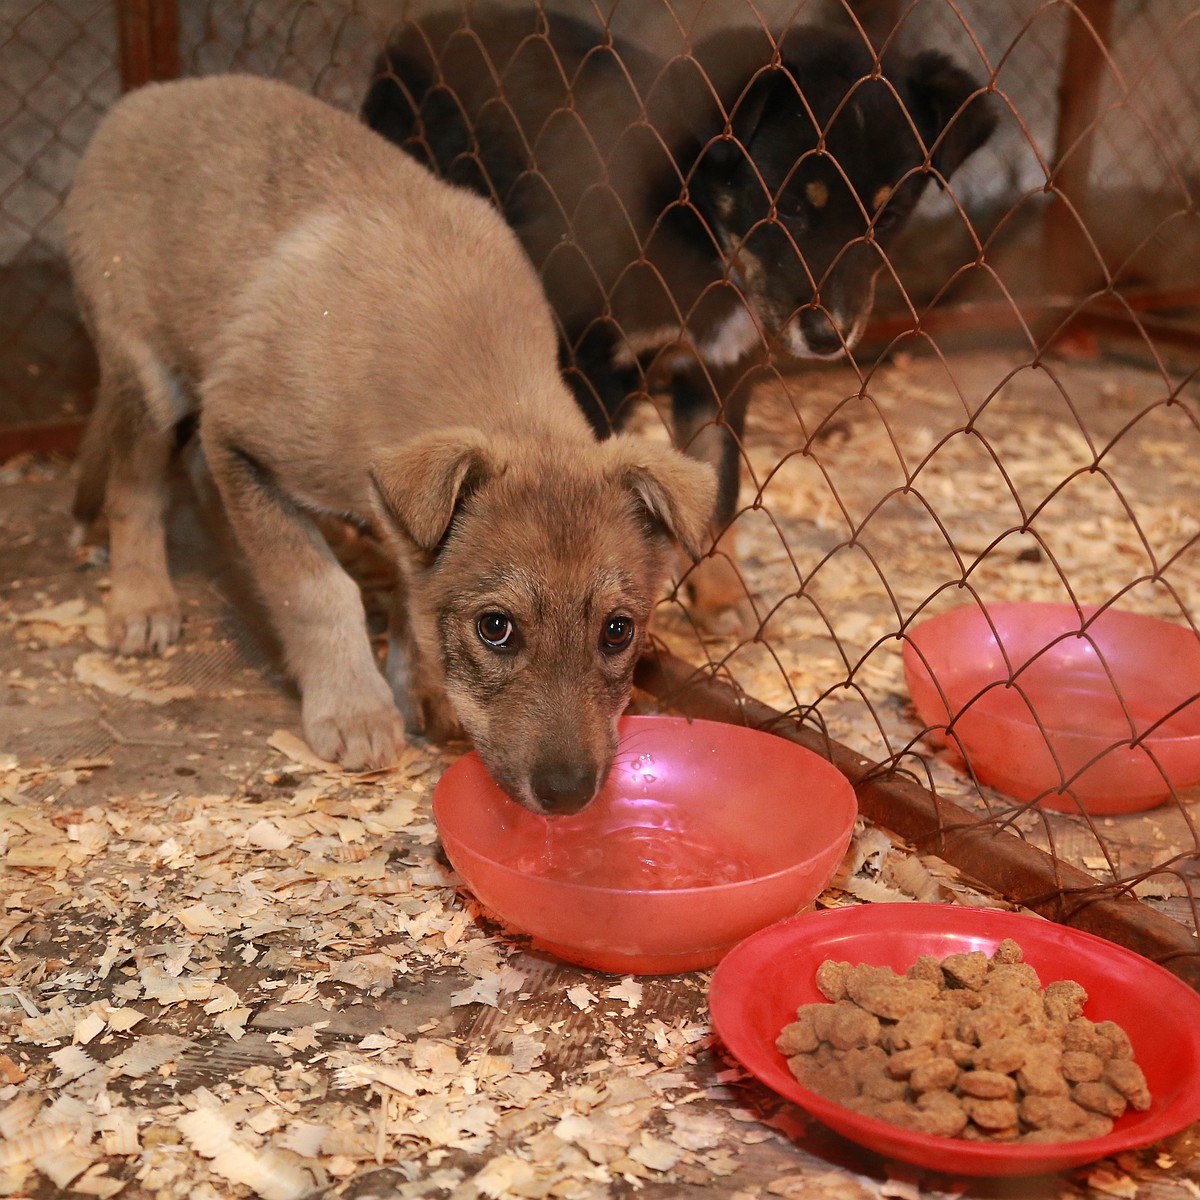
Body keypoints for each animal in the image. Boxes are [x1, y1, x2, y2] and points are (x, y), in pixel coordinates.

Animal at [68, 70, 710, 811]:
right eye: (496, 628)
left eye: (617, 631)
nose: (568, 794)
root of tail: (149, 94)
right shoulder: (240, 437)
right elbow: (317, 588)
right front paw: (354, 709)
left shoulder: (394, 522)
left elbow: (409, 596)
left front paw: (417, 688)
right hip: (147, 375)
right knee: (135, 485)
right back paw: (142, 600)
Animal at [362, 9, 993, 628]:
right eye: (787, 206)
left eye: (888, 217)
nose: (829, 337)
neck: (701, 239)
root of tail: (411, 30)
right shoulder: (591, 365)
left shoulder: (721, 370)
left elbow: (720, 485)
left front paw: (721, 598)